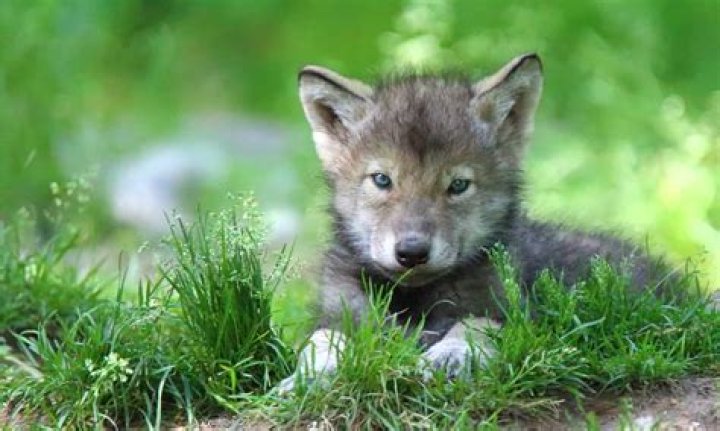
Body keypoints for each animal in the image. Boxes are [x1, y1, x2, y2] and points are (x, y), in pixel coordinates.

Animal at [279, 53, 671, 391]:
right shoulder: (336, 312)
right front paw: (310, 374)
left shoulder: (513, 312)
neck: (414, 300)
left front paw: (451, 355)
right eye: (382, 180)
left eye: (458, 185)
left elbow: (474, 325)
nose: (412, 252)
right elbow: (323, 339)